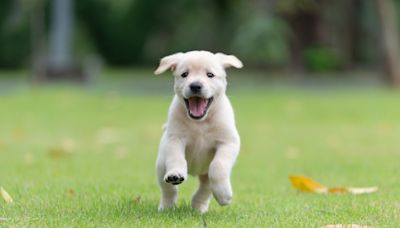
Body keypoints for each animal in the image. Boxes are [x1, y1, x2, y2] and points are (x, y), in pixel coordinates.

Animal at [154, 50, 242, 214]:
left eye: (210, 75)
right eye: (184, 74)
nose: (195, 85)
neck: (200, 123)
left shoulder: (228, 142)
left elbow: (218, 165)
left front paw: (224, 195)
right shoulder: (174, 138)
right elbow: (176, 158)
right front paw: (176, 173)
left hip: (205, 174)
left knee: (205, 188)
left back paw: (198, 206)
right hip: (161, 165)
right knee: (168, 189)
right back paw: (167, 206)